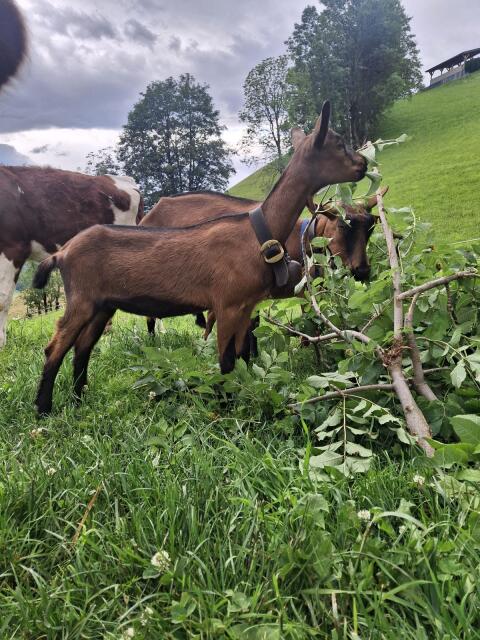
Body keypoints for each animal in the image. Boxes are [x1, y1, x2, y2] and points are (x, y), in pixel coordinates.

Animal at [34, 101, 367, 413]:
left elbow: (241, 356)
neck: (257, 232)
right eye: (339, 143)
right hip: (82, 299)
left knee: (82, 348)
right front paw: (224, 410)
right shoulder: (227, 305)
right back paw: (43, 409)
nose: (363, 163)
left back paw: (78, 399)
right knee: (56, 347)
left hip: (102, 305)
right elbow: (226, 361)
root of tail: (62, 252)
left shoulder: (245, 306)